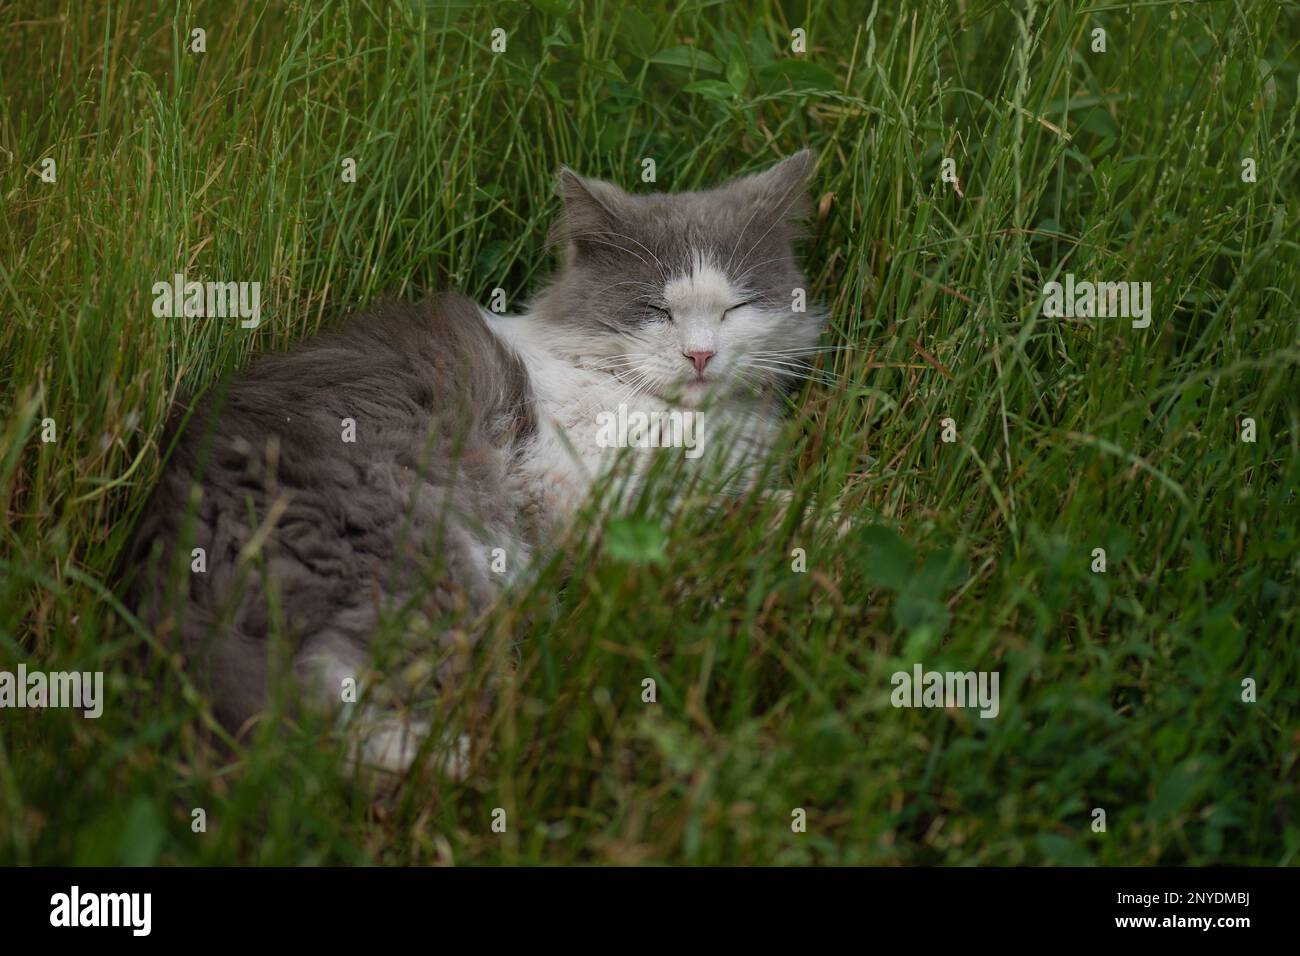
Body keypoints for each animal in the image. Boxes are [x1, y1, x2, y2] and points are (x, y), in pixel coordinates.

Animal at [129, 147, 821, 780]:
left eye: (737, 307)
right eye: (656, 309)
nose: (700, 356)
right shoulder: (572, 485)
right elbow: (721, 513)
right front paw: (819, 520)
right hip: (421, 549)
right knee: (340, 719)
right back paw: (470, 755)